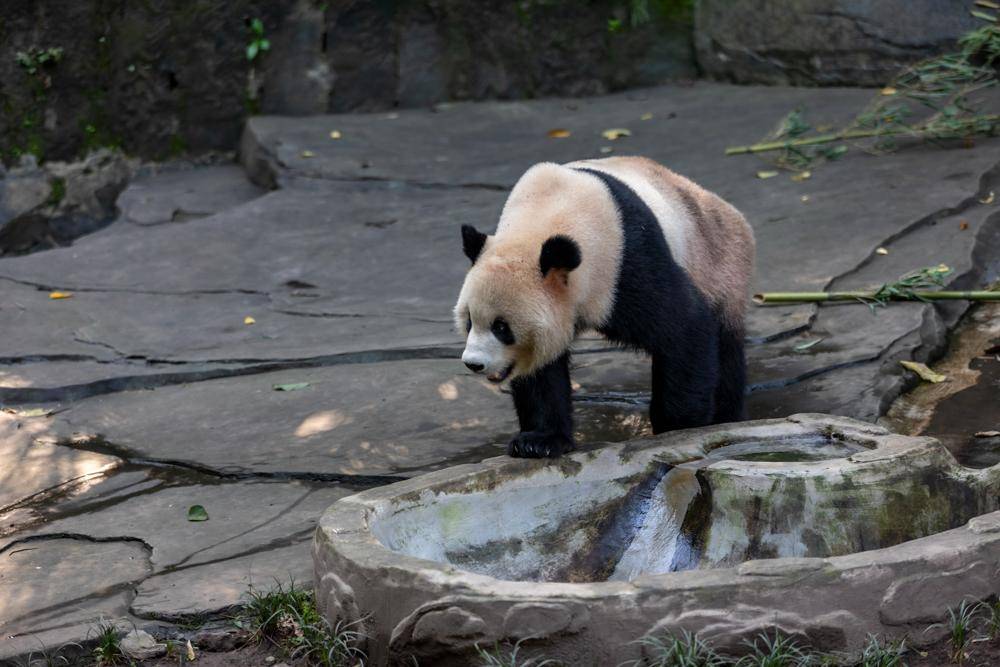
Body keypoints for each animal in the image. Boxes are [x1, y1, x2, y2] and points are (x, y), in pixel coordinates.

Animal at [458, 157, 752, 460]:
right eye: (469, 321)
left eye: (501, 327)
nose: (474, 363)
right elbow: (541, 371)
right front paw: (538, 441)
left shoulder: (625, 264)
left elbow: (685, 326)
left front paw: (676, 427)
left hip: (720, 266)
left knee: (725, 350)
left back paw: (724, 417)